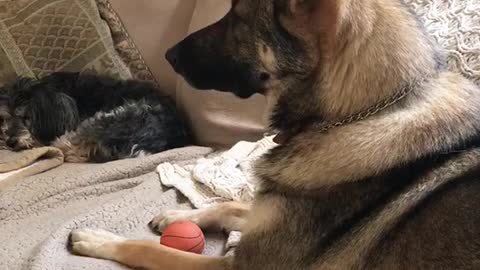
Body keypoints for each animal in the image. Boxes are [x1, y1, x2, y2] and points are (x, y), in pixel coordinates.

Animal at [69, 0, 480, 268]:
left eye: (237, 17)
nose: (168, 56)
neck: (360, 114)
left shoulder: (238, 265)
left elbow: (153, 250)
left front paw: (101, 240)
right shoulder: (263, 215)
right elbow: (233, 205)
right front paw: (176, 216)